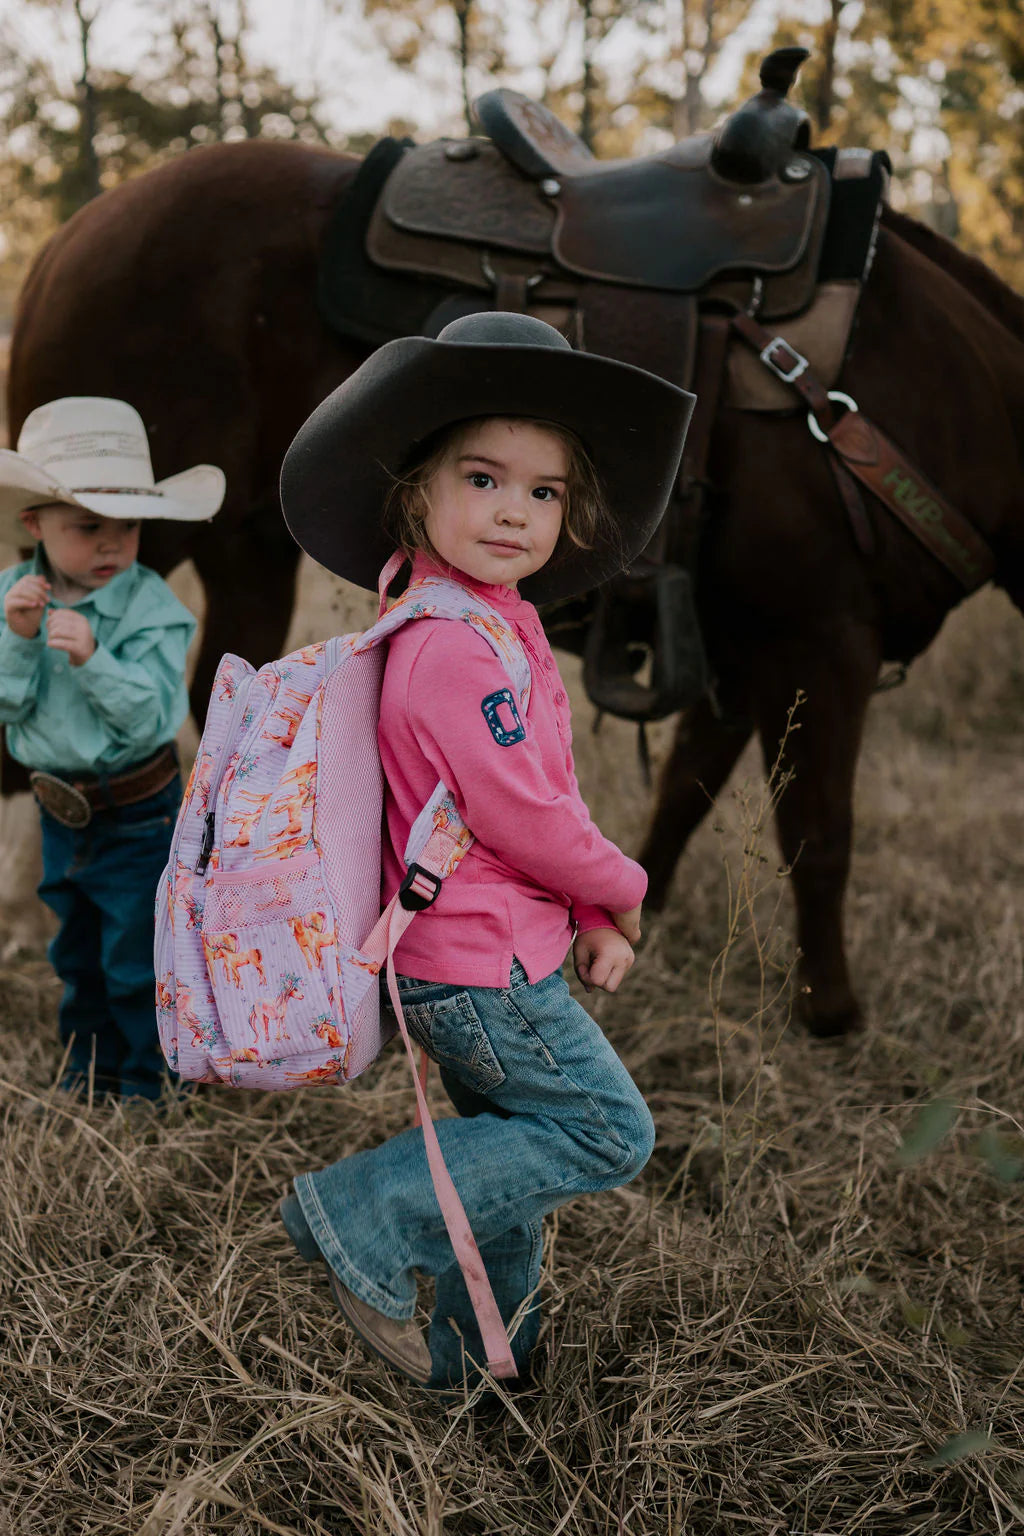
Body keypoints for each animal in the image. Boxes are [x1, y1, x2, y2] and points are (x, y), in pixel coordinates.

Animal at [8, 129, 1024, 1032]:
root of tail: (74, 232)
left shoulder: (742, 661)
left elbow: (682, 796)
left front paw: (629, 930)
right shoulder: (818, 642)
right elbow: (820, 835)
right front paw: (832, 1014)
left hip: (246, 551)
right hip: (131, 533)